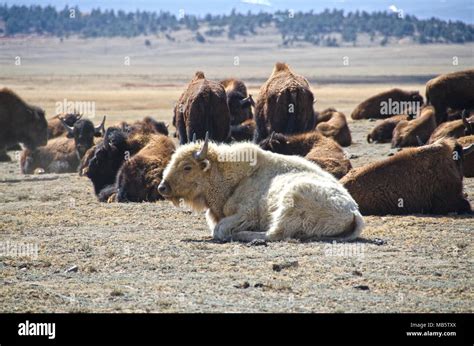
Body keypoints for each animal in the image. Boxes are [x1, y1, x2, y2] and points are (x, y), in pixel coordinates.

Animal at [157, 134, 364, 242]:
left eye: (187, 167)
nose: (162, 187)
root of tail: (354, 211)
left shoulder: (245, 214)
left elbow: (219, 230)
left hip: (292, 198)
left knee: (274, 234)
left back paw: (242, 235)